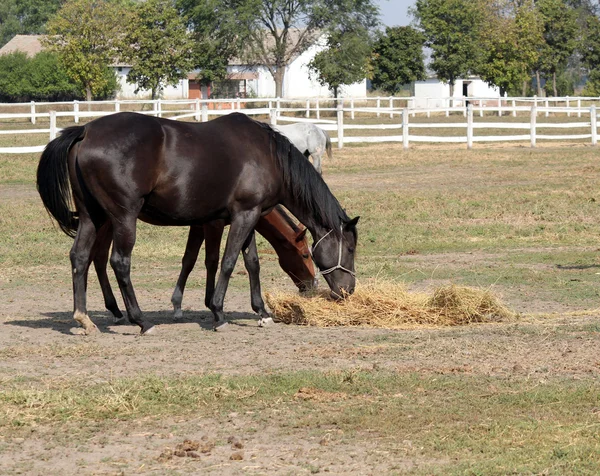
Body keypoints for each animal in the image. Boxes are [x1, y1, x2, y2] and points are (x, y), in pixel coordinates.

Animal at [36, 111, 356, 334]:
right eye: (351, 249)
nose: (347, 291)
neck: (267, 156)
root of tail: (85, 131)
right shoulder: (241, 216)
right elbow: (226, 262)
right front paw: (218, 312)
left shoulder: (247, 215)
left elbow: (250, 262)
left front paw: (261, 312)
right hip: (122, 218)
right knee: (118, 262)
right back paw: (140, 321)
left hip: (92, 217)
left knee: (80, 257)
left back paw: (84, 318)